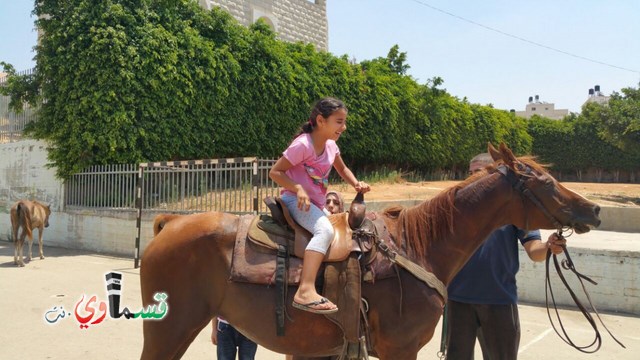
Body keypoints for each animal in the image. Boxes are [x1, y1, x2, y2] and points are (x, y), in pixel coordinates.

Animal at [139, 144, 600, 360]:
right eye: (544, 182)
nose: (592, 209)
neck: (416, 247)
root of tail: (170, 222)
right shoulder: (401, 349)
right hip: (170, 328)